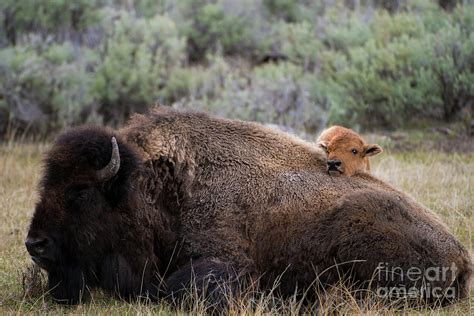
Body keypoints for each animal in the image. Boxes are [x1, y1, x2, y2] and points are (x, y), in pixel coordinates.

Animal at [25, 107, 470, 306]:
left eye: (82, 192)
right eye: (46, 184)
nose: (35, 244)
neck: (162, 187)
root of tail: (460, 254)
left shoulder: (228, 266)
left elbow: (172, 289)